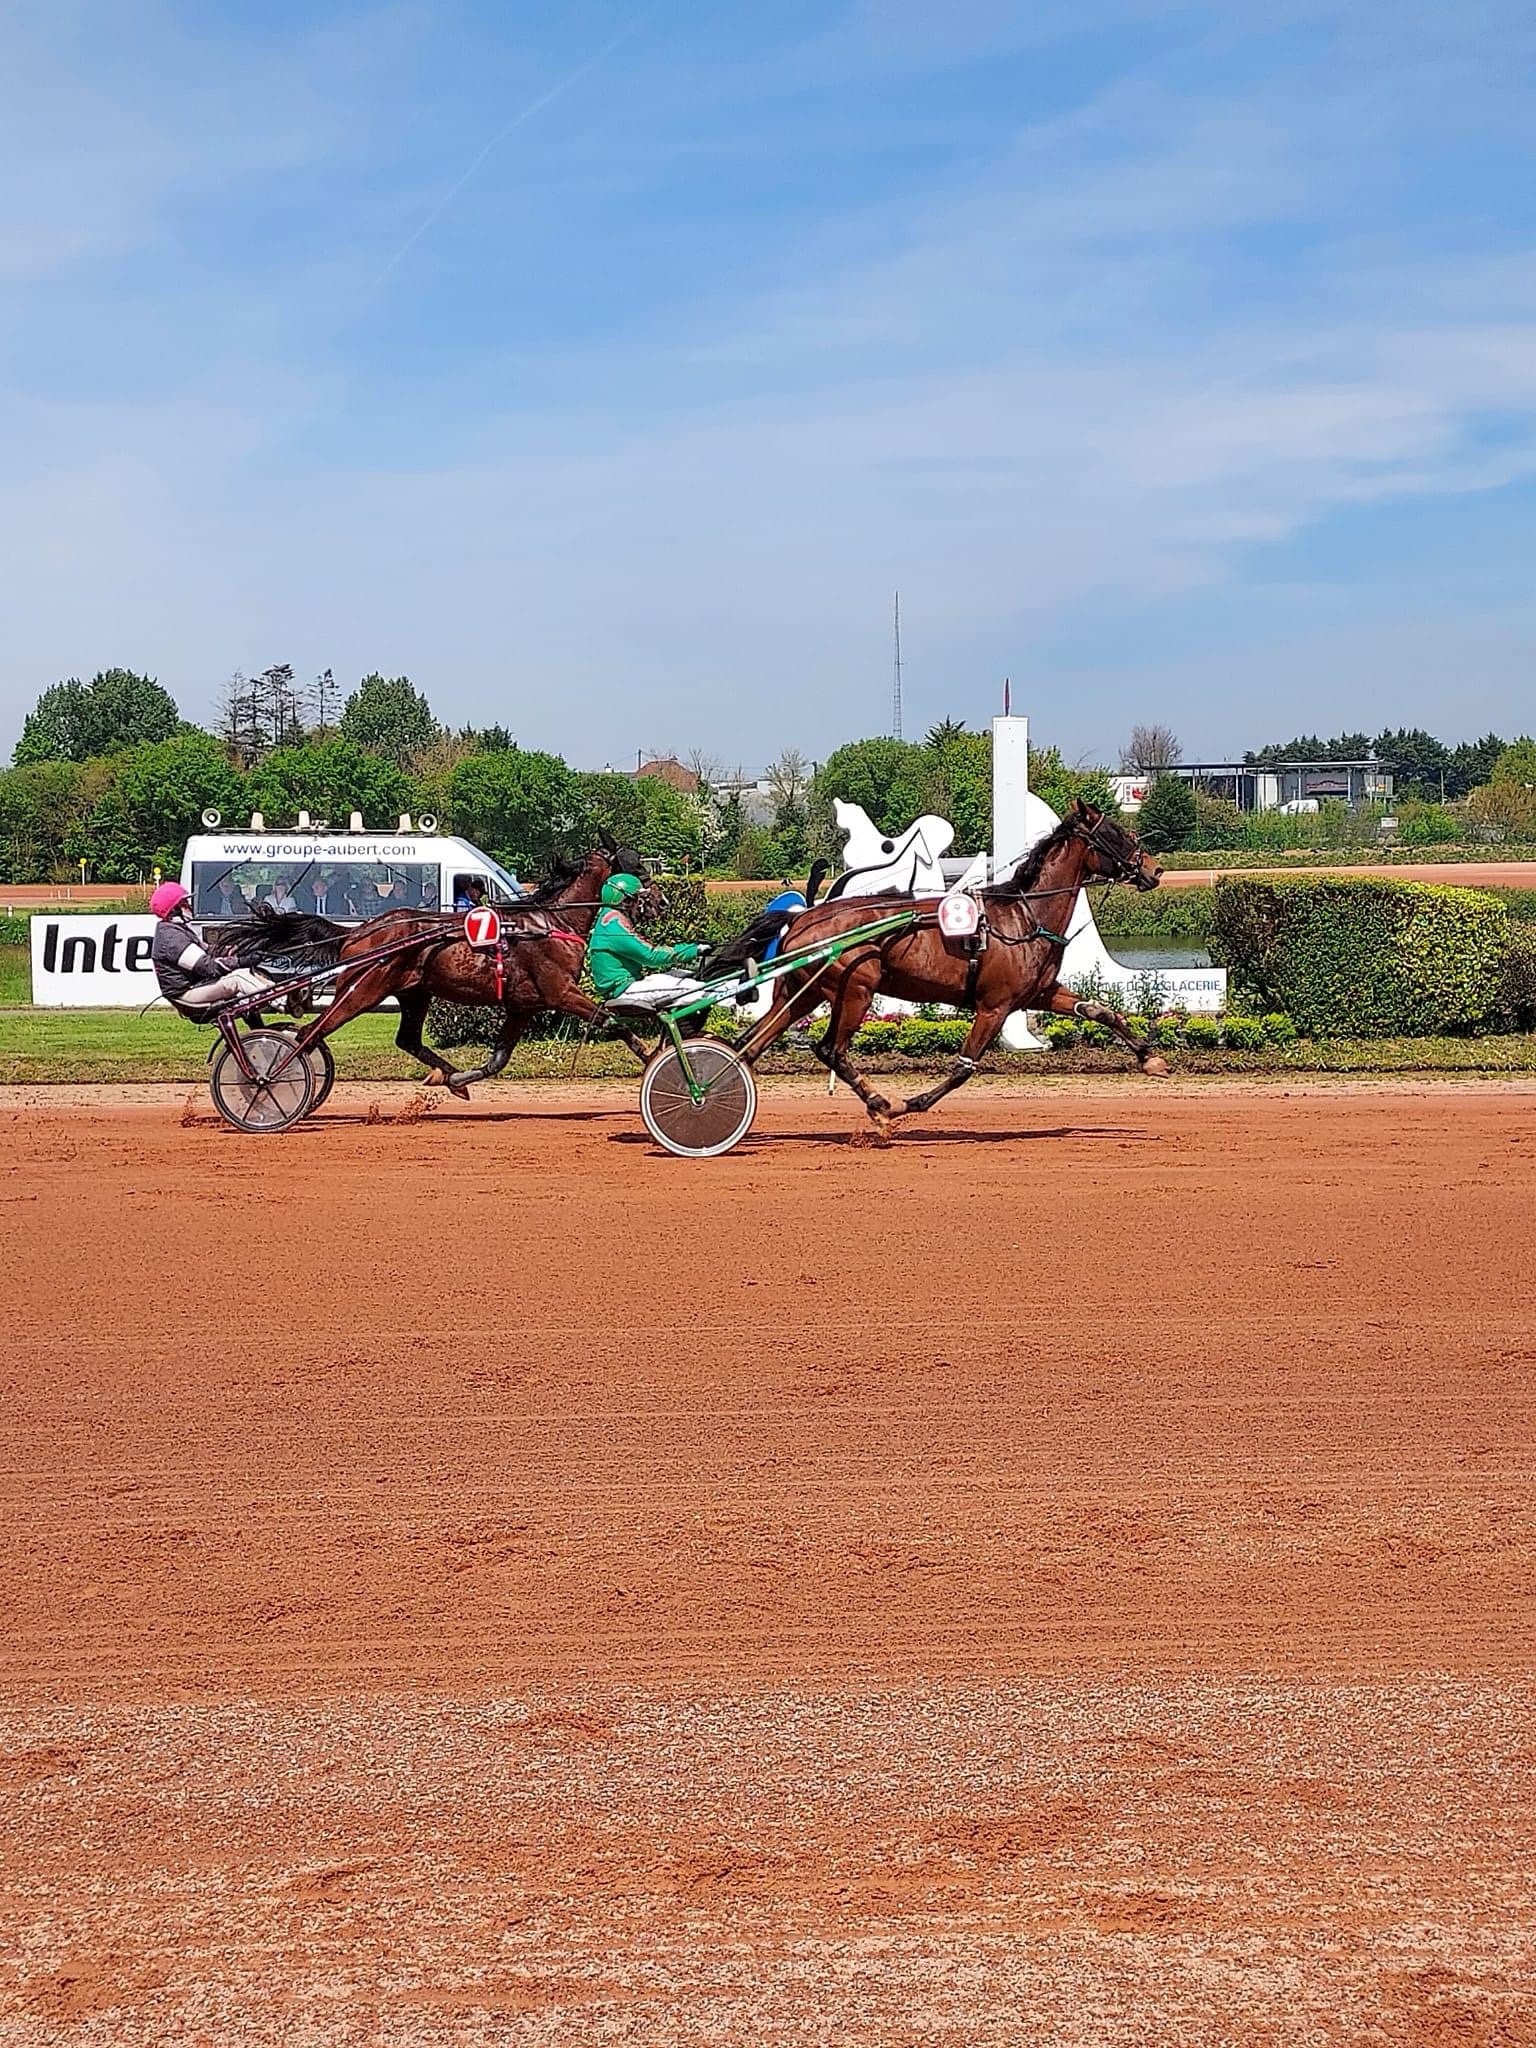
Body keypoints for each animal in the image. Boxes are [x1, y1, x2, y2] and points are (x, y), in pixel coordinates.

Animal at [213, 842, 660, 1097]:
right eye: (636, 865)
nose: (659, 901)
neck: (548, 922)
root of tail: (360, 933)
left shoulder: (523, 1005)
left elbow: (499, 1058)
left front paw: (461, 1082)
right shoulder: (560, 992)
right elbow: (612, 1021)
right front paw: (651, 1054)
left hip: (414, 992)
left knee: (405, 1039)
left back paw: (446, 1074)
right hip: (363, 991)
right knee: (309, 1034)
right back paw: (267, 1081)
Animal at [735, 801, 1166, 1132]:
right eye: (1116, 834)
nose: (1155, 870)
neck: (1023, 917)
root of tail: (802, 919)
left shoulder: (1040, 993)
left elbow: (1101, 1012)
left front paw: (1152, 1059)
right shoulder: (994, 1006)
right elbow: (963, 1068)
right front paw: (906, 1105)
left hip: (801, 995)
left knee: (750, 1046)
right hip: (856, 989)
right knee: (830, 1050)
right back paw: (879, 1104)